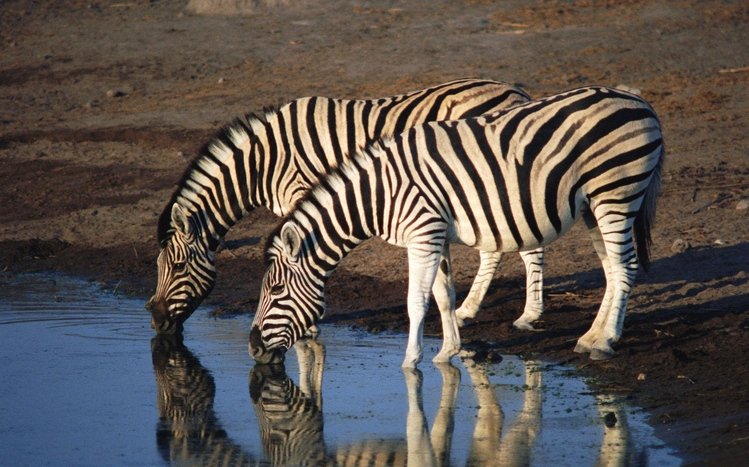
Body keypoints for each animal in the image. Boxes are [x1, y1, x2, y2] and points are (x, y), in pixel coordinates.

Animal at [146, 78, 543, 336]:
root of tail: (515, 91)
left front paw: (308, 322)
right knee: (495, 245)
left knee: (528, 243)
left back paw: (529, 315)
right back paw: (467, 310)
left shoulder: (301, 191)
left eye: (177, 266)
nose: (156, 320)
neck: (263, 162)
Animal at [249, 86, 664, 367]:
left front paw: (410, 362)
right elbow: (444, 294)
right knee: (611, 268)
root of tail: (640, 102)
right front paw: (449, 351)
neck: (379, 193)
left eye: (277, 289)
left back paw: (606, 342)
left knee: (625, 267)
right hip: (595, 204)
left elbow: (416, 301)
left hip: (617, 192)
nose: (252, 346)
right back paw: (591, 336)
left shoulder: (423, 234)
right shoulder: (434, 236)